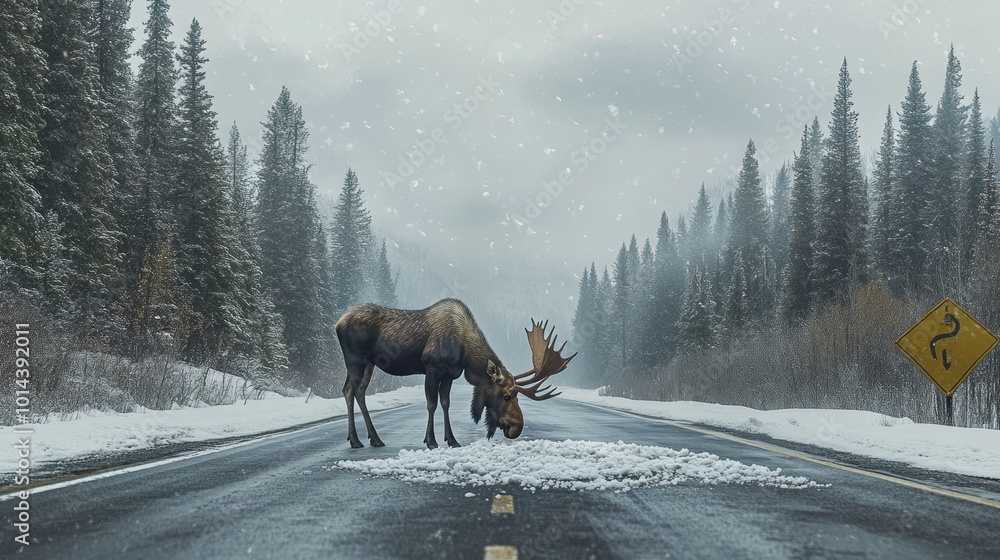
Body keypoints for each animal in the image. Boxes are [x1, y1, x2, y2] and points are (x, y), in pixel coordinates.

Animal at [334, 300, 576, 448]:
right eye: (507, 395)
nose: (517, 427)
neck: (464, 351)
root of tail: (337, 323)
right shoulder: (432, 367)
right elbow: (431, 403)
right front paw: (431, 440)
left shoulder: (450, 374)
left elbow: (445, 403)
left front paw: (451, 439)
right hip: (356, 359)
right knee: (356, 391)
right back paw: (364, 439)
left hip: (368, 363)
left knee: (349, 390)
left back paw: (364, 438)